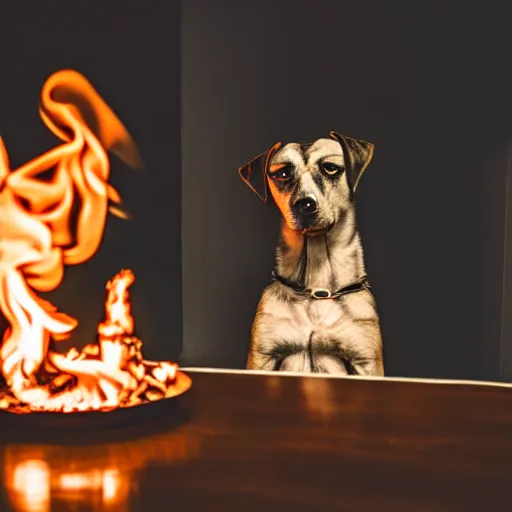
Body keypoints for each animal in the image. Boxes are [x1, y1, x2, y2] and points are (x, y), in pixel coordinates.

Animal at [240, 130, 384, 374]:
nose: (305, 204)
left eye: (330, 168)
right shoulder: (263, 358)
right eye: (283, 173)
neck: (317, 290)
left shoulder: (365, 362)